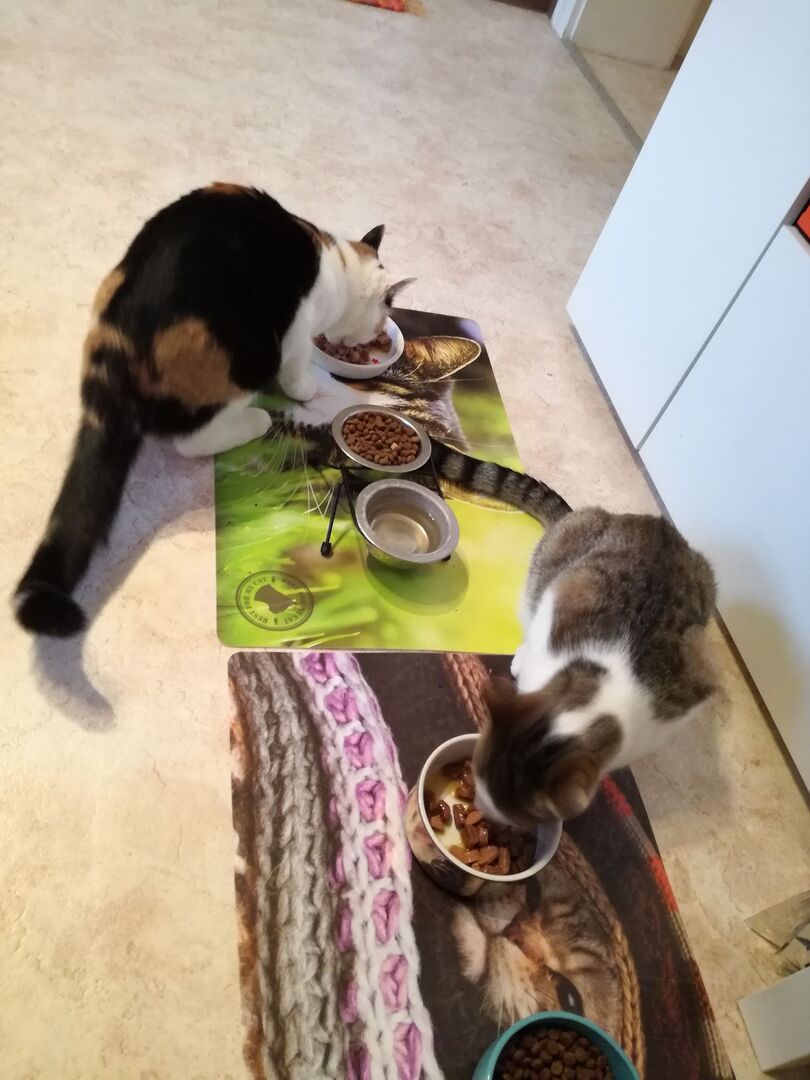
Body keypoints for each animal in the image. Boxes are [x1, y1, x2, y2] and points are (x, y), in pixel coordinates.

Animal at [14, 183, 414, 637]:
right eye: (380, 319)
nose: (375, 335)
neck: (338, 266)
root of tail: (120, 343)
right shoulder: (295, 333)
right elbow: (297, 373)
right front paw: (308, 389)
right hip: (252, 354)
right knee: (191, 440)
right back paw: (255, 419)